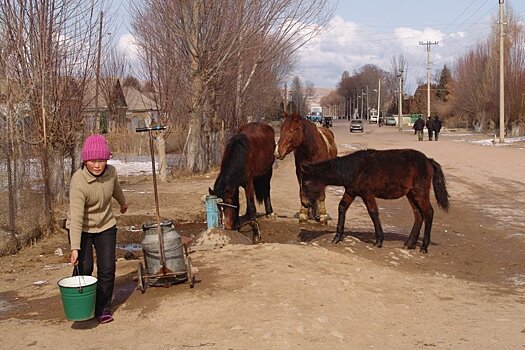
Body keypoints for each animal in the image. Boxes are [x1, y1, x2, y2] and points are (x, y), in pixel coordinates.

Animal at [298, 148, 450, 252]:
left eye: (306, 183)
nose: (305, 203)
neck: (355, 169)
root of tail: (428, 160)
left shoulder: (368, 194)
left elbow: (373, 213)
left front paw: (379, 241)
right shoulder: (350, 192)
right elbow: (342, 207)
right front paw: (337, 237)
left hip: (420, 192)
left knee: (428, 212)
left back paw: (424, 247)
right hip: (411, 194)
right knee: (418, 215)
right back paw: (409, 244)